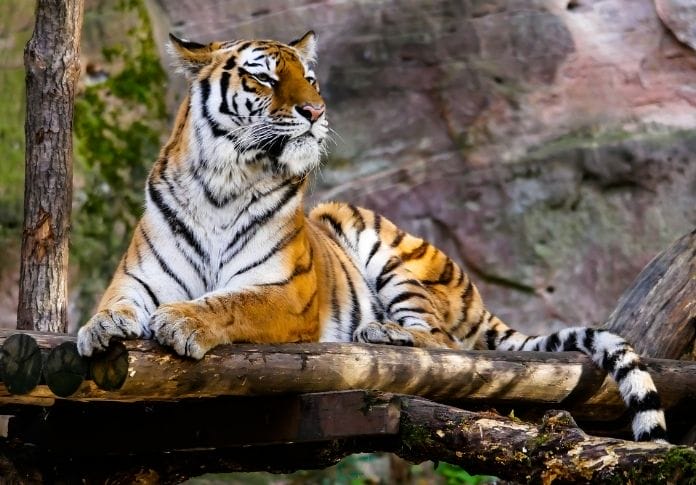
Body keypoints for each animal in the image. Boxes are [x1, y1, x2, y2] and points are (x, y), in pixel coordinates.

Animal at [76, 31, 667, 442]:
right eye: (264, 79)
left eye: (310, 80)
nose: (315, 111)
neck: (222, 184)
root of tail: (478, 298)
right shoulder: (138, 277)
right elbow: (116, 303)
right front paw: (98, 329)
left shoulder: (287, 294)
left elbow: (230, 303)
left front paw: (182, 321)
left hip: (384, 248)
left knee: (445, 343)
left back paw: (383, 333)